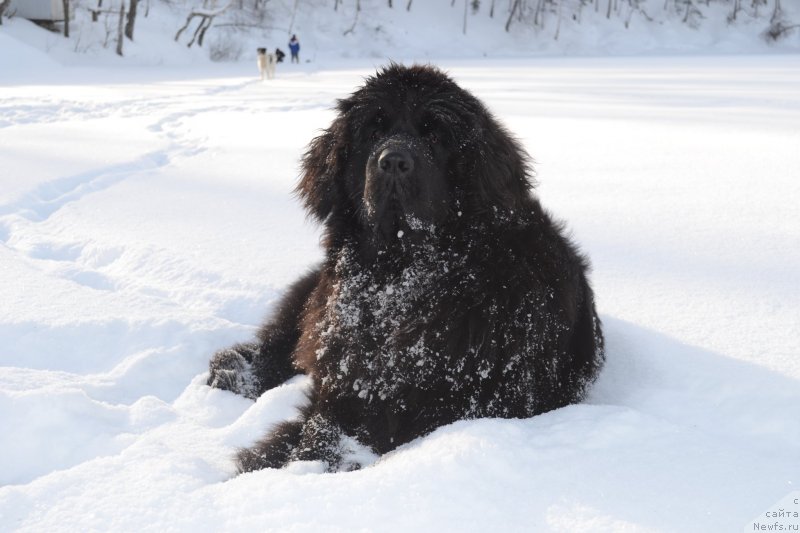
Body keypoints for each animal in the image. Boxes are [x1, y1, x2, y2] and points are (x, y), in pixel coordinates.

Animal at [209, 64, 604, 472]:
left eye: (436, 135)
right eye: (374, 131)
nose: (394, 161)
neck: (400, 279)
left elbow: (326, 437)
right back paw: (236, 372)